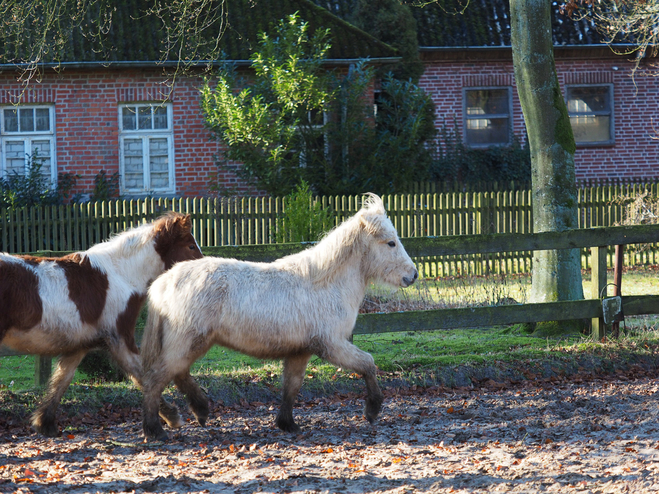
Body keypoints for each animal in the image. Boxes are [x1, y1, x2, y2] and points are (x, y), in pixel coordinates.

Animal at [0, 212, 204, 436]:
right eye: (190, 246)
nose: (205, 271)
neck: (121, 275)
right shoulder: (120, 339)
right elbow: (143, 375)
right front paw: (172, 418)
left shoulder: (79, 346)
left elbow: (61, 381)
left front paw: (44, 423)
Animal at [141, 193, 418, 440]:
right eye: (391, 243)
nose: (413, 275)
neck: (325, 283)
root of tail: (163, 283)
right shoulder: (332, 345)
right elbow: (368, 363)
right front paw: (373, 410)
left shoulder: (301, 351)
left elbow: (292, 386)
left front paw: (287, 424)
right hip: (187, 343)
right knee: (155, 379)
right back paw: (155, 430)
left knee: (177, 374)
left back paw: (199, 411)